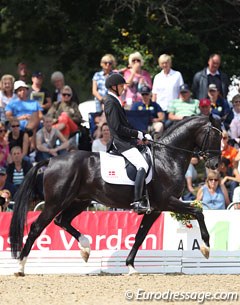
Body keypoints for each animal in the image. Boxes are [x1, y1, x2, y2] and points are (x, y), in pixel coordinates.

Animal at [10, 114, 221, 276]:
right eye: (215, 136)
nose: (215, 164)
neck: (167, 158)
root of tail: (52, 160)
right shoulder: (167, 202)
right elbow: (198, 212)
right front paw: (206, 247)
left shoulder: (154, 209)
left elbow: (140, 235)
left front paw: (131, 266)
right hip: (56, 202)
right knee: (37, 227)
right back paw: (20, 267)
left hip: (79, 201)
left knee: (62, 221)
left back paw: (85, 248)